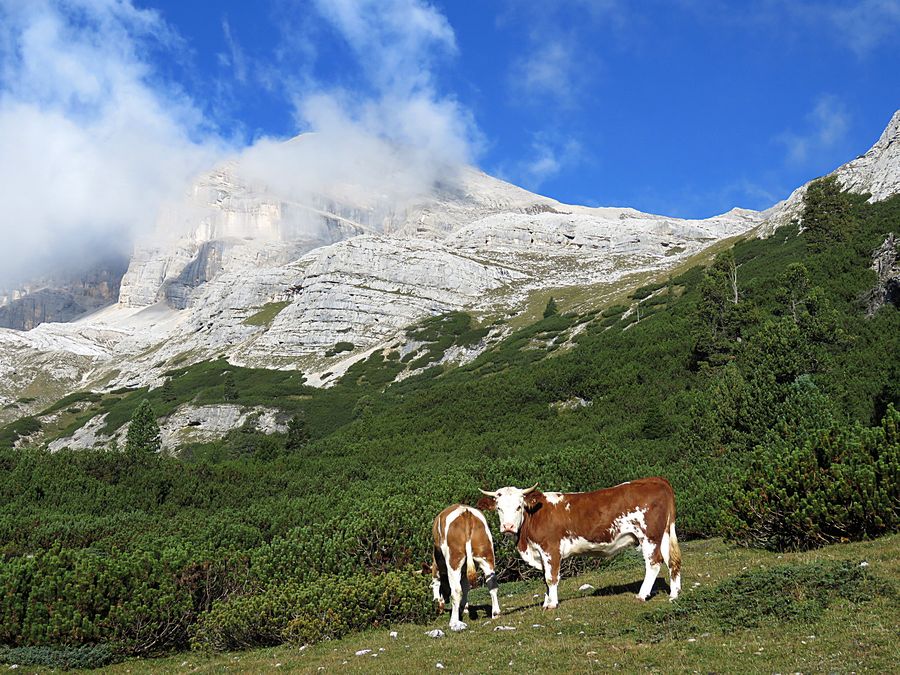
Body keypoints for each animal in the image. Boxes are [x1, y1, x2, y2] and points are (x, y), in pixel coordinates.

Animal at [428, 504, 500, 632]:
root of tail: (466, 512)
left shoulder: (437, 561)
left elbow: (436, 582)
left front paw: (438, 604)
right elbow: (466, 585)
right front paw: (464, 607)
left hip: (454, 560)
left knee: (456, 591)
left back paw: (453, 622)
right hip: (487, 555)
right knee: (492, 584)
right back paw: (495, 613)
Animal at [478, 478, 684, 608]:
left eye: (519, 506)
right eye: (499, 508)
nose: (508, 526)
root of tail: (656, 480)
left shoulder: (551, 549)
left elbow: (551, 578)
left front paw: (552, 604)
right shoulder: (541, 553)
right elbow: (545, 579)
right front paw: (546, 602)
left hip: (649, 537)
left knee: (654, 563)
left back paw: (641, 595)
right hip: (663, 535)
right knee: (672, 561)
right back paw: (674, 594)